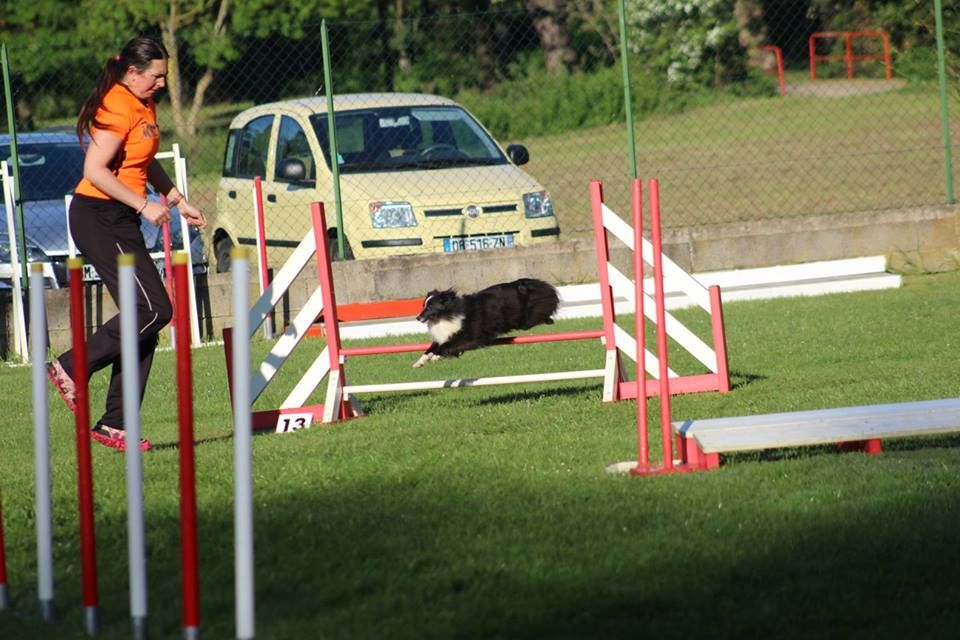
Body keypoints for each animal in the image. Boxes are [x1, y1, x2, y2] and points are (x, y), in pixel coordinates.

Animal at [414, 278, 564, 368]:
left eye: (430, 306)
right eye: (423, 305)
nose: (417, 318)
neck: (447, 316)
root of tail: (528, 283)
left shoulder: (471, 337)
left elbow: (446, 346)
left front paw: (436, 357)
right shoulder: (445, 336)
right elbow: (431, 348)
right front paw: (419, 362)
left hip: (525, 320)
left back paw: (549, 320)